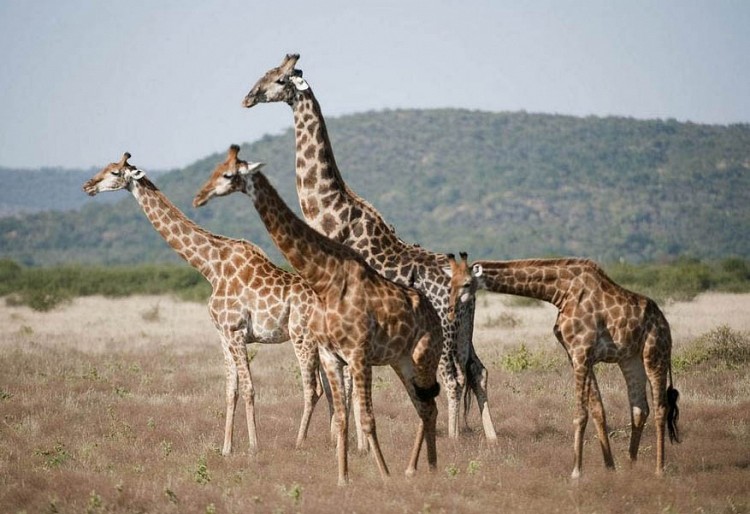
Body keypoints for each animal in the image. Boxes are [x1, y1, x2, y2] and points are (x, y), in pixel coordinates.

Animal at [83, 151, 330, 454]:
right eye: (106, 167)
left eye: (115, 172)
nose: (88, 186)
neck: (210, 267)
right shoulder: (223, 335)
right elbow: (230, 390)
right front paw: (226, 449)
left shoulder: (236, 331)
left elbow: (249, 389)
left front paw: (253, 448)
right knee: (337, 388)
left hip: (301, 336)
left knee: (313, 389)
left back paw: (299, 443)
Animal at [206, 153, 443, 486]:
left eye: (227, 175)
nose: (200, 196)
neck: (326, 281)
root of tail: (436, 317)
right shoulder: (332, 355)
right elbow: (342, 417)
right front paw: (343, 479)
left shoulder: (358, 354)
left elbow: (367, 418)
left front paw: (383, 475)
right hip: (402, 361)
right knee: (425, 407)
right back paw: (420, 469)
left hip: (425, 358)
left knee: (428, 405)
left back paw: (421, 469)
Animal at [241, 53, 497, 442]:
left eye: (279, 79)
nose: (248, 97)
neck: (331, 212)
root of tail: (469, 283)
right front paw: (343, 437)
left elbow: (345, 378)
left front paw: (351, 439)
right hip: (465, 327)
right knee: (476, 369)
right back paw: (491, 437)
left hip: (445, 325)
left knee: (452, 377)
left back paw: (452, 437)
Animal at [450, 255, 681, 477]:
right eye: (450, 282)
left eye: (467, 283)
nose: (451, 310)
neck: (560, 291)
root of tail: (665, 323)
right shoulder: (575, 355)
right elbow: (598, 410)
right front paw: (610, 468)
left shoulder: (581, 352)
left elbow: (580, 414)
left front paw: (576, 472)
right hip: (630, 359)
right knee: (639, 408)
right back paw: (631, 466)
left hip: (655, 354)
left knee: (661, 407)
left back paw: (659, 470)